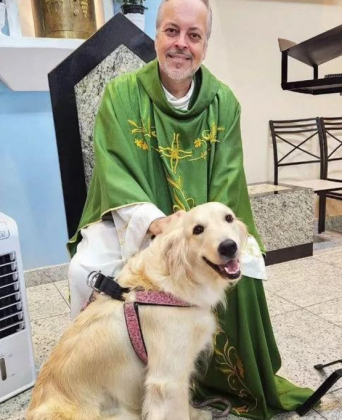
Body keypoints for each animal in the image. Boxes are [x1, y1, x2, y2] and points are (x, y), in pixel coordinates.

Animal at [26, 202, 246, 420]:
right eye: (197, 229)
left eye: (228, 218)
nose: (228, 246)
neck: (172, 284)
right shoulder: (169, 378)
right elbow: (177, 409)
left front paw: (197, 413)